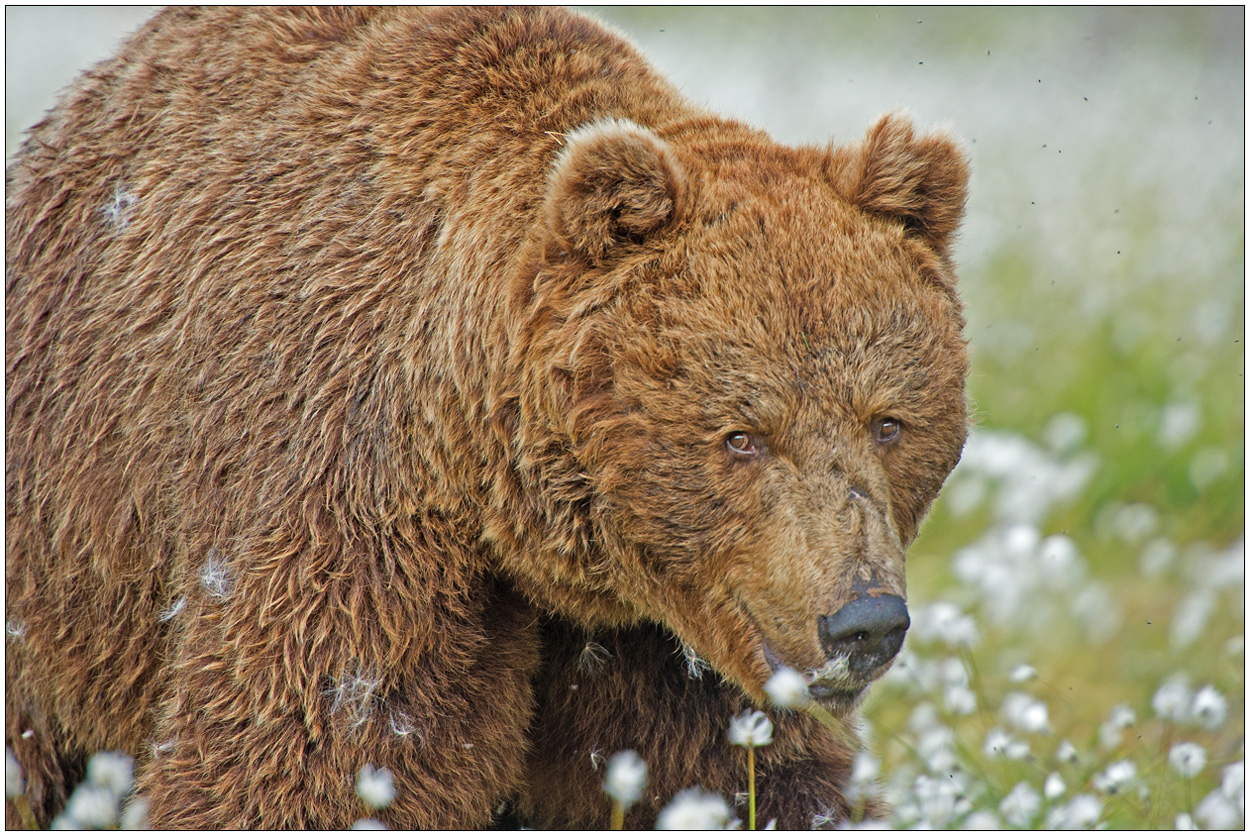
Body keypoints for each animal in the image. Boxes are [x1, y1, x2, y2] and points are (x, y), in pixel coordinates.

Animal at [4, 6, 970, 829]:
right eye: (742, 436)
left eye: (887, 422)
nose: (864, 623)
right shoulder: (350, 498)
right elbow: (317, 751)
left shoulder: (667, 633)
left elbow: (736, 771)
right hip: (63, 563)